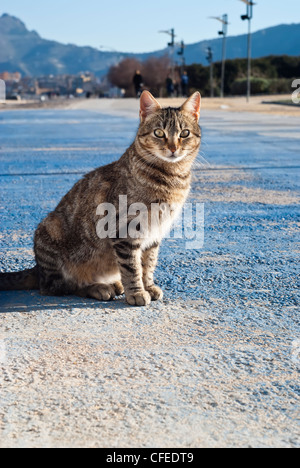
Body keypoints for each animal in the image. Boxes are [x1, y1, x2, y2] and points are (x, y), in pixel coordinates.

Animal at [0, 90, 202, 308]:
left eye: (184, 134)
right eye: (159, 133)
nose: (173, 148)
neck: (171, 177)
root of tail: (37, 268)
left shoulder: (154, 234)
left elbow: (147, 264)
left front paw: (148, 286)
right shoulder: (125, 230)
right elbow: (132, 267)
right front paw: (136, 292)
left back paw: (113, 284)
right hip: (50, 230)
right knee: (59, 287)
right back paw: (98, 288)